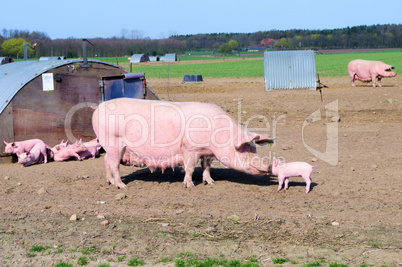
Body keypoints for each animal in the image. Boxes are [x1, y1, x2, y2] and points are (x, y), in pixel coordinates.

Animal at [91, 99, 274, 191]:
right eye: (244, 149)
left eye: (255, 148)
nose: (267, 166)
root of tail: (97, 109)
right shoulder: (190, 149)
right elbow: (190, 168)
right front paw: (189, 186)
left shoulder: (206, 153)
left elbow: (207, 167)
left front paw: (211, 183)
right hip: (113, 141)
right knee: (114, 164)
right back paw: (121, 186)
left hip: (113, 146)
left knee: (107, 160)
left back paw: (109, 182)